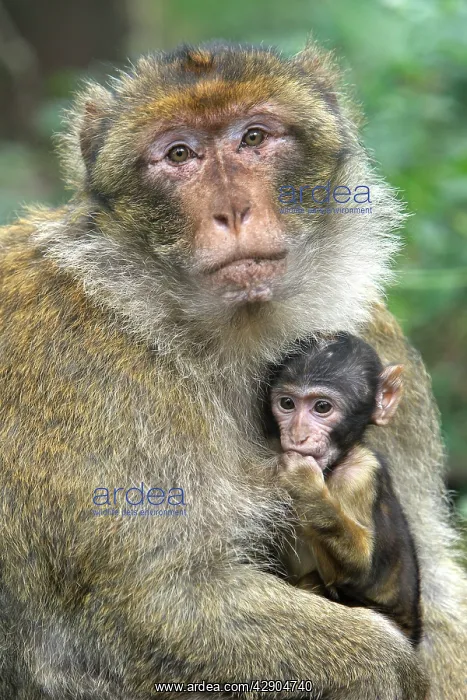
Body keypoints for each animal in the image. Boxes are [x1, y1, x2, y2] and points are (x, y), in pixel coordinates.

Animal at [265, 333, 422, 646]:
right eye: (287, 403)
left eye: (322, 408)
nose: (298, 435)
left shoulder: (358, 476)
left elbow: (360, 569)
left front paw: (303, 483)